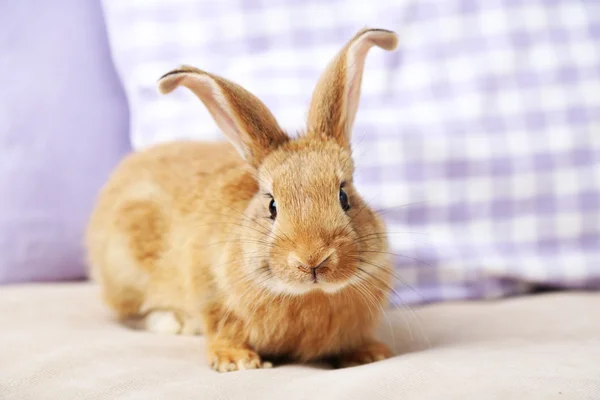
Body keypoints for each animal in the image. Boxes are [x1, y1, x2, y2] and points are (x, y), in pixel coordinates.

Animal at [85, 27, 398, 372]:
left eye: (344, 196)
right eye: (272, 205)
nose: (313, 259)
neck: (308, 294)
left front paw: (369, 354)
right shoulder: (212, 294)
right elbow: (222, 330)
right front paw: (237, 361)